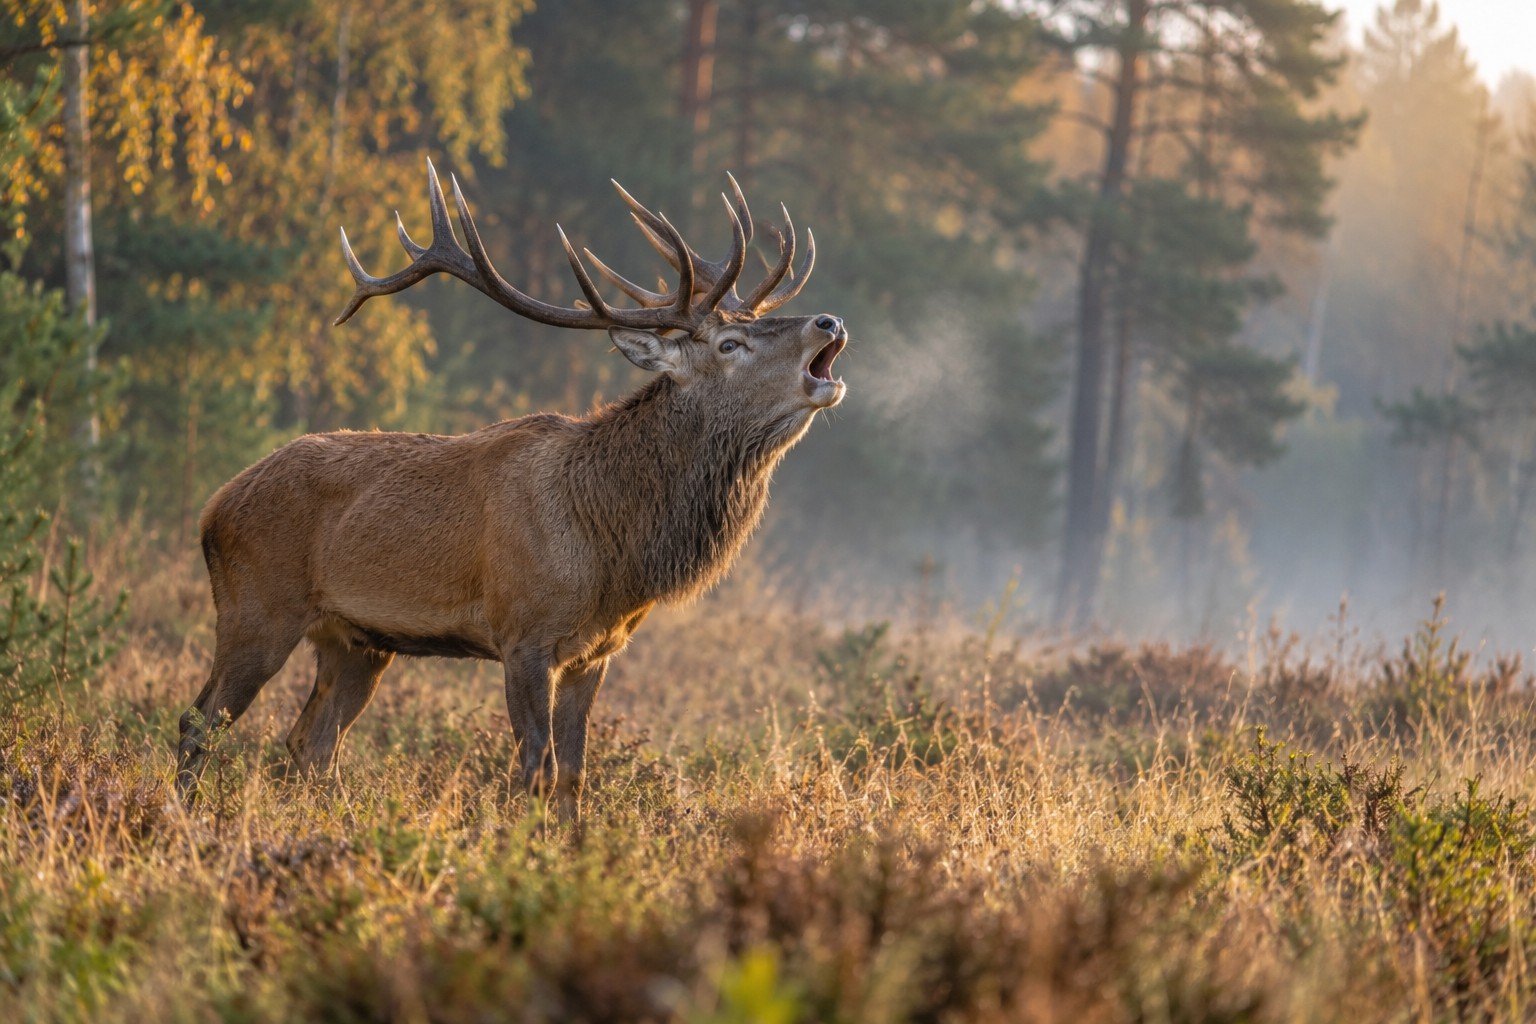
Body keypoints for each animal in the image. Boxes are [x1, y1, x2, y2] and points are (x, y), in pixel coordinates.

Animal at [175, 162, 847, 820]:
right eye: (730, 344)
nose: (829, 320)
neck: (612, 547)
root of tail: (213, 507)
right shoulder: (523, 633)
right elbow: (536, 770)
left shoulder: (597, 651)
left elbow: (574, 775)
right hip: (257, 608)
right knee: (199, 720)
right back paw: (185, 814)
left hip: (355, 641)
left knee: (311, 741)